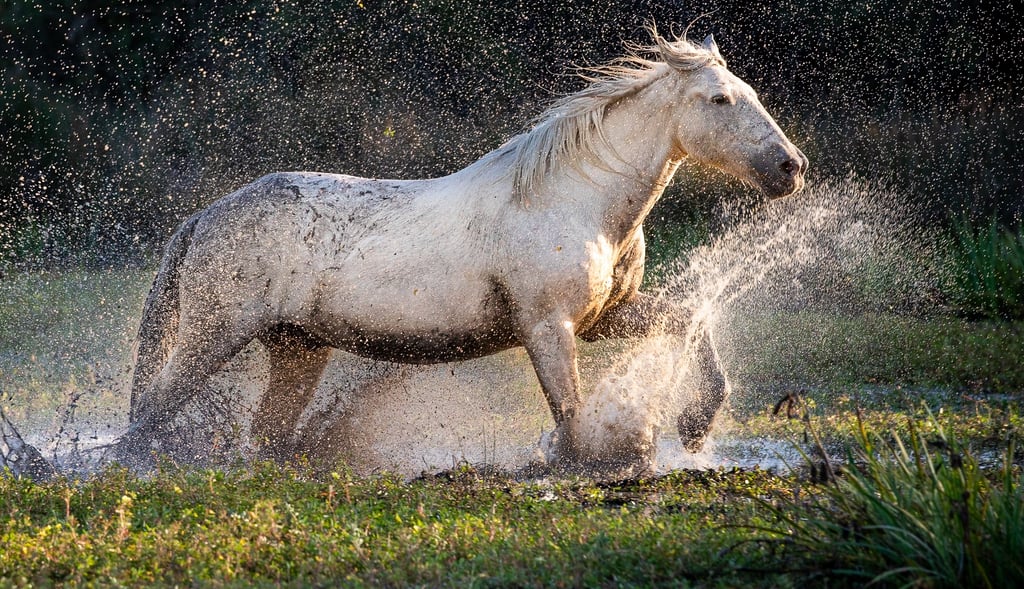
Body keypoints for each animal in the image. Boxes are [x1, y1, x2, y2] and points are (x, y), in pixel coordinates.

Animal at [121, 29, 807, 470]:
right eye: (720, 99)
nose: (790, 168)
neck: (573, 199)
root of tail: (204, 218)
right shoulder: (546, 326)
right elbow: (572, 413)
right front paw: (586, 461)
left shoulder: (602, 318)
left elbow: (688, 318)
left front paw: (695, 429)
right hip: (216, 333)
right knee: (152, 410)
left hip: (295, 347)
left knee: (264, 437)